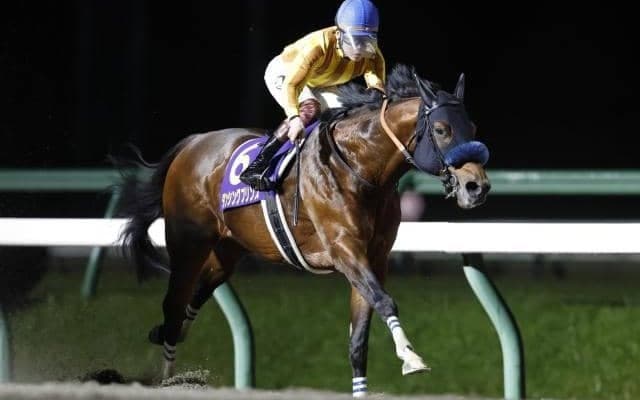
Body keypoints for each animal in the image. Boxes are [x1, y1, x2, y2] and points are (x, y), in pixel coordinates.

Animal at [115, 63, 491, 397]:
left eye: (473, 126)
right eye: (441, 129)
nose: (477, 187)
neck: (359, 168)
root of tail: (192, 143)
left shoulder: (374, 257)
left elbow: (359, 339)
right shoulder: (344, 250)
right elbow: (385, 301)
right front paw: (411, 358)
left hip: (228, 250)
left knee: (193, 298)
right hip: (187, 243)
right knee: (174, 305)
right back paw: (167, 377)